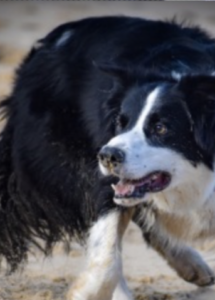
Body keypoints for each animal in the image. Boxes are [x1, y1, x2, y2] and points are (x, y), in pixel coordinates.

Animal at [1, 16, 215, 300]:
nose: (106, 156)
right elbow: (107, 245)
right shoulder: (105, 176)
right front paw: (85, 292)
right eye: (120, 123)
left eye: (160, 128)